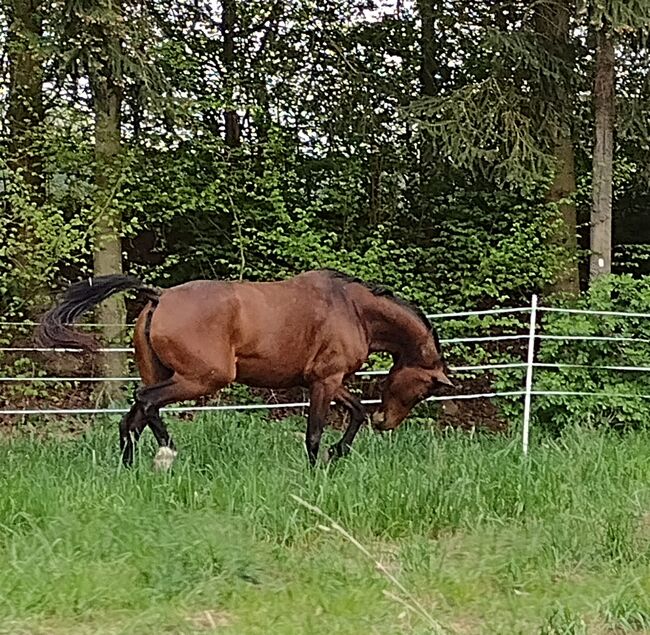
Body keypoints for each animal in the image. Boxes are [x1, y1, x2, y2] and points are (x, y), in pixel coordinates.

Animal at [38, 268, 448, 468]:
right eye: (425, 389)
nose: (386, 423)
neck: (354, 309)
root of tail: (160, 296)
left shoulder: (326, 380)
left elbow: (357, 412)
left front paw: (337, 455)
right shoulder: (324, 381)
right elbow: (314, 434)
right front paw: (317, 471)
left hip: (163, 373)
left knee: (131, 421)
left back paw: (131, 471)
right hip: (201, 378)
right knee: (147, 402)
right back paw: (168, 453)